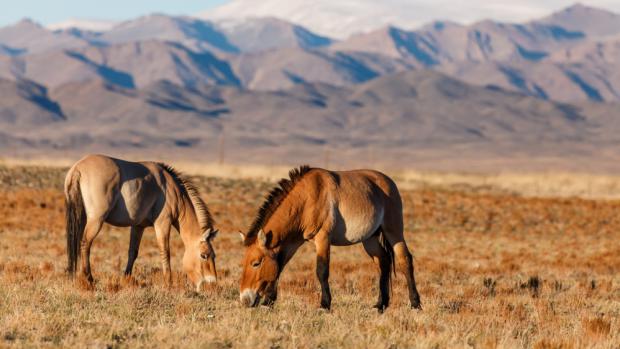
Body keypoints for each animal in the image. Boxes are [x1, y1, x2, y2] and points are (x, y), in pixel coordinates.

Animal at [65, 154, 218, 290]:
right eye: (204, 255)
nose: (211, 283)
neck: (171, 189)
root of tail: (78, 168)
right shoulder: (163, 223)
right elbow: (165, 251)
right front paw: (168, 283)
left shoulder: (138, 226)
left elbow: (133, 252)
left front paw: (126, 279)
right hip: (96, 220)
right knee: (85, 243)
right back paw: (89, 279)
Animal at [239, 165, 422, 310]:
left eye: (256, 263)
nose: (245, 300)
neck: (306, 198)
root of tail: (389, 181)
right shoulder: (293, 243)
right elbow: (279, 268)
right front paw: (268, 302)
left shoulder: (322, 239)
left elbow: (322, 271)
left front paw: (324, 305)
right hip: (370, 238)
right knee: (383, 262)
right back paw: (380, 305)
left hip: (394, 231)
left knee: (405, 260)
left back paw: (415, 304)